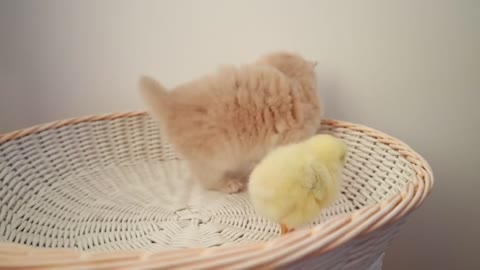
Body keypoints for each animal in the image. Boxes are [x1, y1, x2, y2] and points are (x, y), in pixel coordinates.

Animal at [139, 51, 322, 193]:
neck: (294, 81)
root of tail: (170, 100)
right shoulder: (290, 141)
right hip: (214, 159)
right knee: (207, 181)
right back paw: (229, 185)